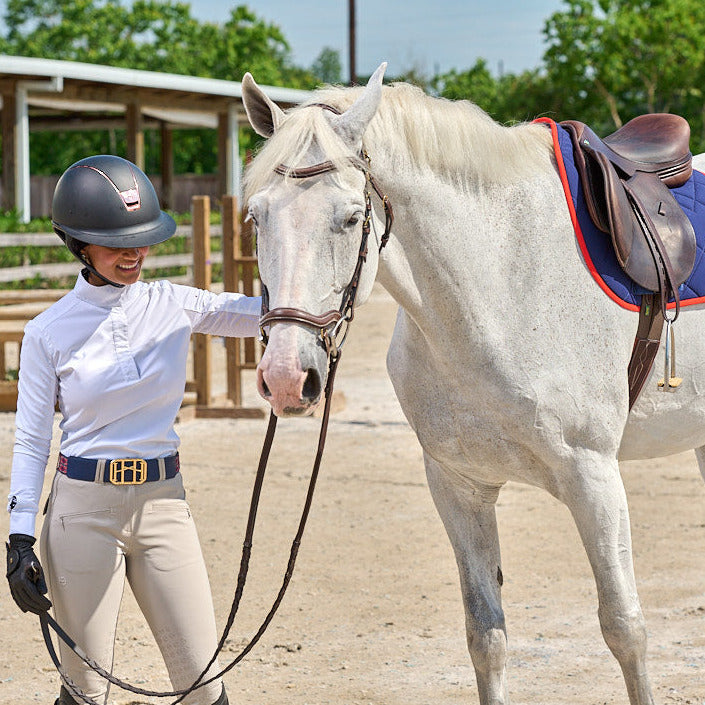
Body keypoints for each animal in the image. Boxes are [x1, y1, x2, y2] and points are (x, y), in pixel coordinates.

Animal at [241, 63, 704, 700]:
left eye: (352, 218)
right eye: (256, 215)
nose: (287, 377)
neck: (501, 278)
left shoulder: (595, 480)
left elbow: (624, 628)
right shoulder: (458, 485)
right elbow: (486, 635)